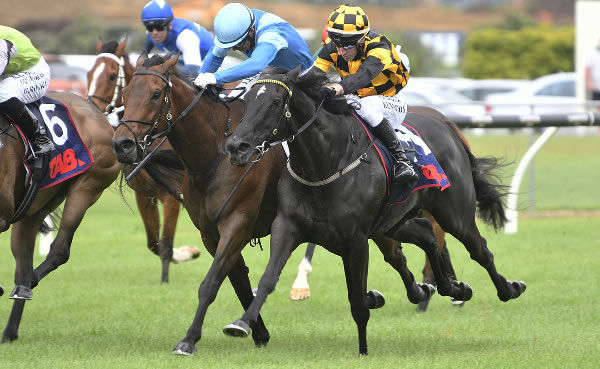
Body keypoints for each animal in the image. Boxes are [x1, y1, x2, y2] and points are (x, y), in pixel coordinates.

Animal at [0, 90, 120, 342]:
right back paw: (10, 331)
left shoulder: (3, 214)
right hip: (33, 208)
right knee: (22, 266)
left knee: (59, 250)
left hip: (86, 186)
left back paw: (26, 285)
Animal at [88, 38, 195, 282]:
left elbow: (166, 245)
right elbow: (154, 243)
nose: (91, 109)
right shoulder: (145, 195)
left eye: (111, 76)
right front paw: (186, 253)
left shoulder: (171, 195)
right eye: (89, 72)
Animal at [112, 54, 442, 354]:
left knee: (405, 247)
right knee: (399, 252)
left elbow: (213, 281)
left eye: (156, 94)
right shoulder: (211, 233)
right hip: (378, 224)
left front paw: (189, 340)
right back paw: (411, 290)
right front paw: (257, 331)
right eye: (125, 94)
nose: (122, 144)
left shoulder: (237, 223)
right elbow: (237, 280)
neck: (215, 157)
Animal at [227, 67, 528, 356]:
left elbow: (358, 301)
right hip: (394, 221)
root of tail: (445, 124)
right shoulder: (288, 226)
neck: (327, 163)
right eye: (246, 101)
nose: (236, 146)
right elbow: (268, 279)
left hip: (454, 214)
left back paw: (508, 289)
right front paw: (242, 323)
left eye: (276, 102)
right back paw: (453, 288)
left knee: (480, 249)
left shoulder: (357, 241)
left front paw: (363, 351)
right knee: (428, 235)